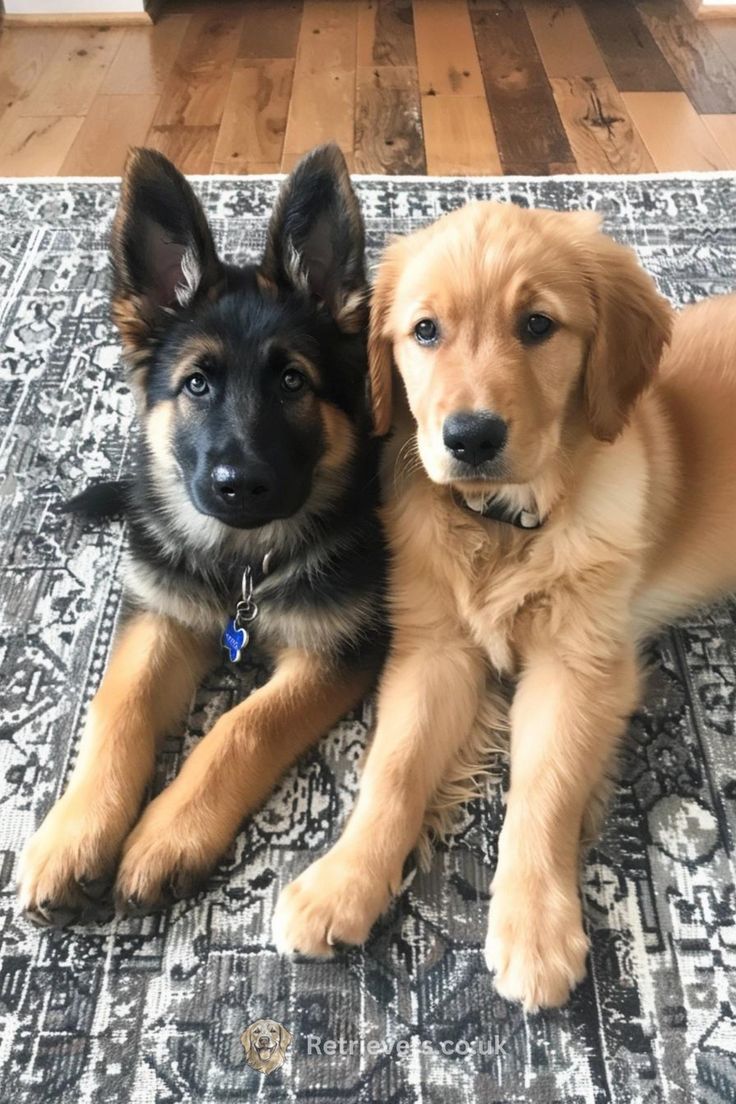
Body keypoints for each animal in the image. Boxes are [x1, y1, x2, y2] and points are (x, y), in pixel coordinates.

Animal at [17, 146, 388, 922]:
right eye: (196, 384)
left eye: (292, 381)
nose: (238, 484)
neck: (241, 566)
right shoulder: (160, 615)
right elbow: (119, 704)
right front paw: (74, 833)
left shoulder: (335, 649)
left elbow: (240, 726)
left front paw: (167, 836)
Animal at [272, 198, 736, 1011]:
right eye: (425, 330)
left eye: (538, 325)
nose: (472, 436)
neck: (504, 526)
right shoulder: (433, 648)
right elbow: (393, 770)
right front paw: (342, 882)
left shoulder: (578, 665)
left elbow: (544, 787)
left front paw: (535, 929)